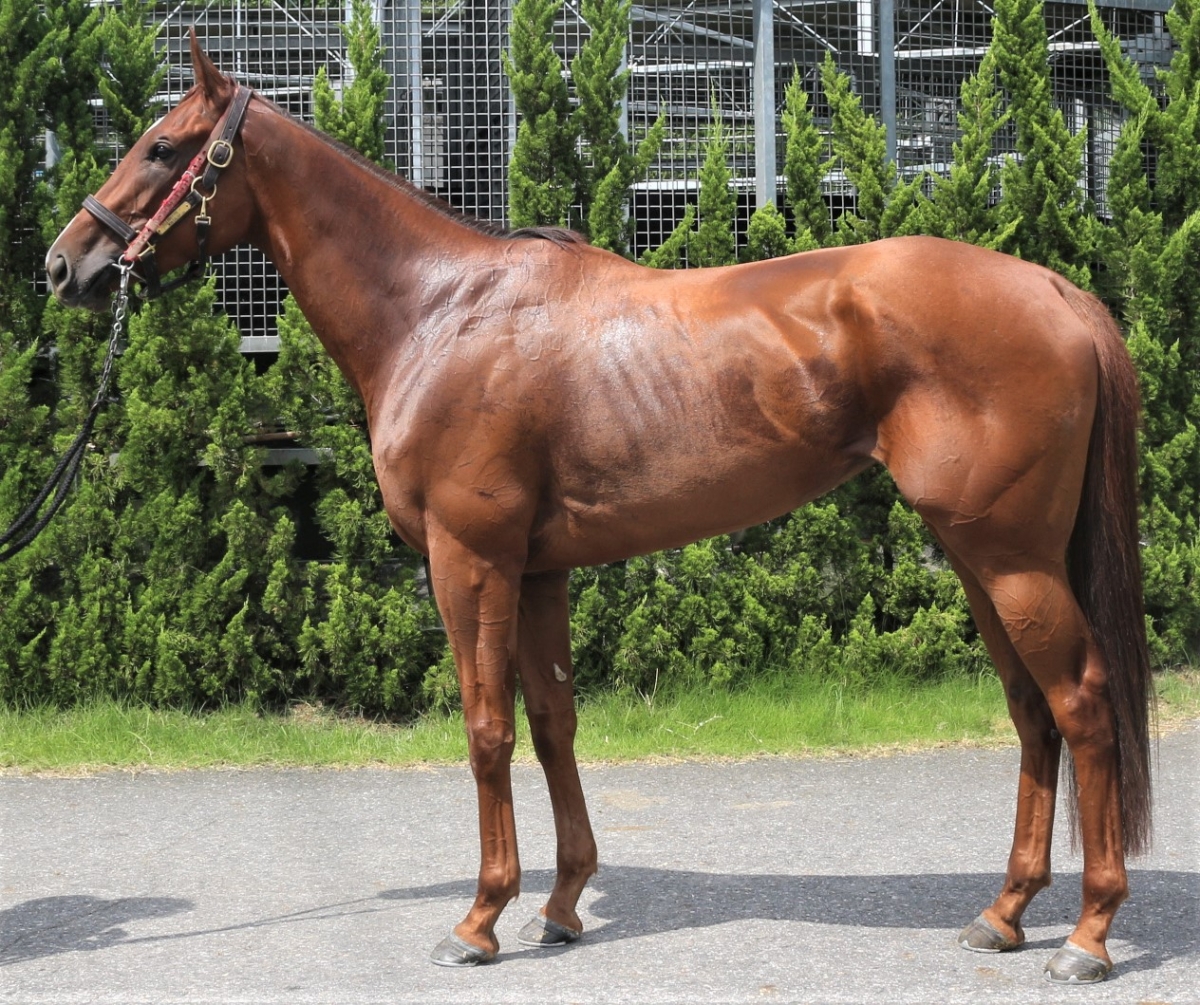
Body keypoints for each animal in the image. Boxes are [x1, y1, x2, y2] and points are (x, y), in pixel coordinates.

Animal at [46, 35, 1153, 984]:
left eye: (163, 147)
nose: (65, 265)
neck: (440, 313)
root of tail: (1056, 289)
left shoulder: (470, 560)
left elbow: (487, 727)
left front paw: (480, 919)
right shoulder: (538, 570)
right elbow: (553, 724)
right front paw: (562, 904)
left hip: (1009, 558)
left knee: (1081, 702)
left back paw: (1089, 934)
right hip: (979, 556)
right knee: (1031, 711)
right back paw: (1004, 913)